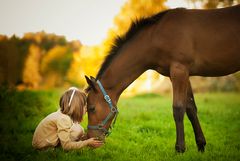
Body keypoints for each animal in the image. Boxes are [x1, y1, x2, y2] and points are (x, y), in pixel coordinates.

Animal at [85, 5, 240, 153]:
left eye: (92, 108)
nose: (90, 139)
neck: (156, 36)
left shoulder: (179, 71)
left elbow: (178, 109)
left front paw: (180, 148)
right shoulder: (182, 75)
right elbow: (191, 108)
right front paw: (201, 145)